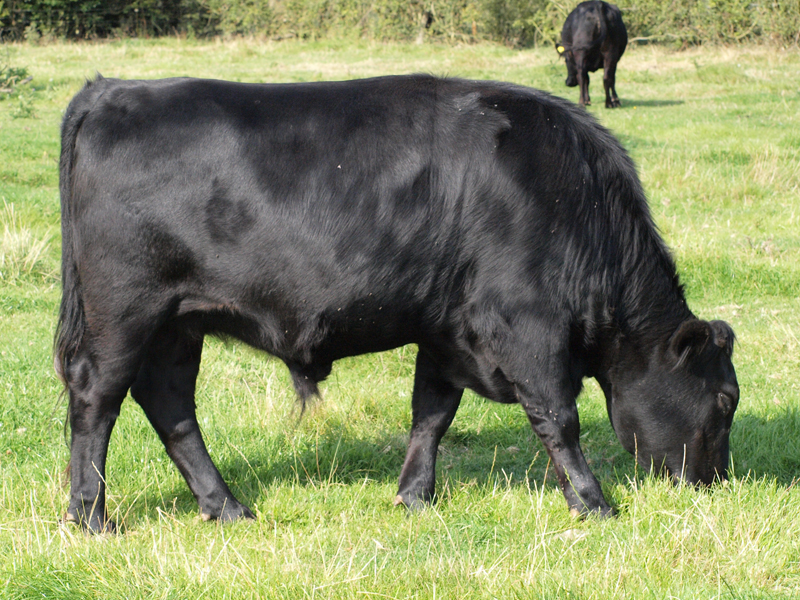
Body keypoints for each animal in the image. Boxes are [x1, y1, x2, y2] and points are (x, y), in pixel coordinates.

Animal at [57, 75, 744, 536]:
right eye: (725, 399)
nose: (718, 483)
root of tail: (109, 90)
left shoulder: (448, 328)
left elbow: (432, 412)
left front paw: (414, 495)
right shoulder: (527, 325)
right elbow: (558, 417)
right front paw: (593, 502)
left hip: (179, 323)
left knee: (170, 404)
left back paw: (225, 506)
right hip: (125, 309)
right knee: (97, 399)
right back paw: (91, 517)